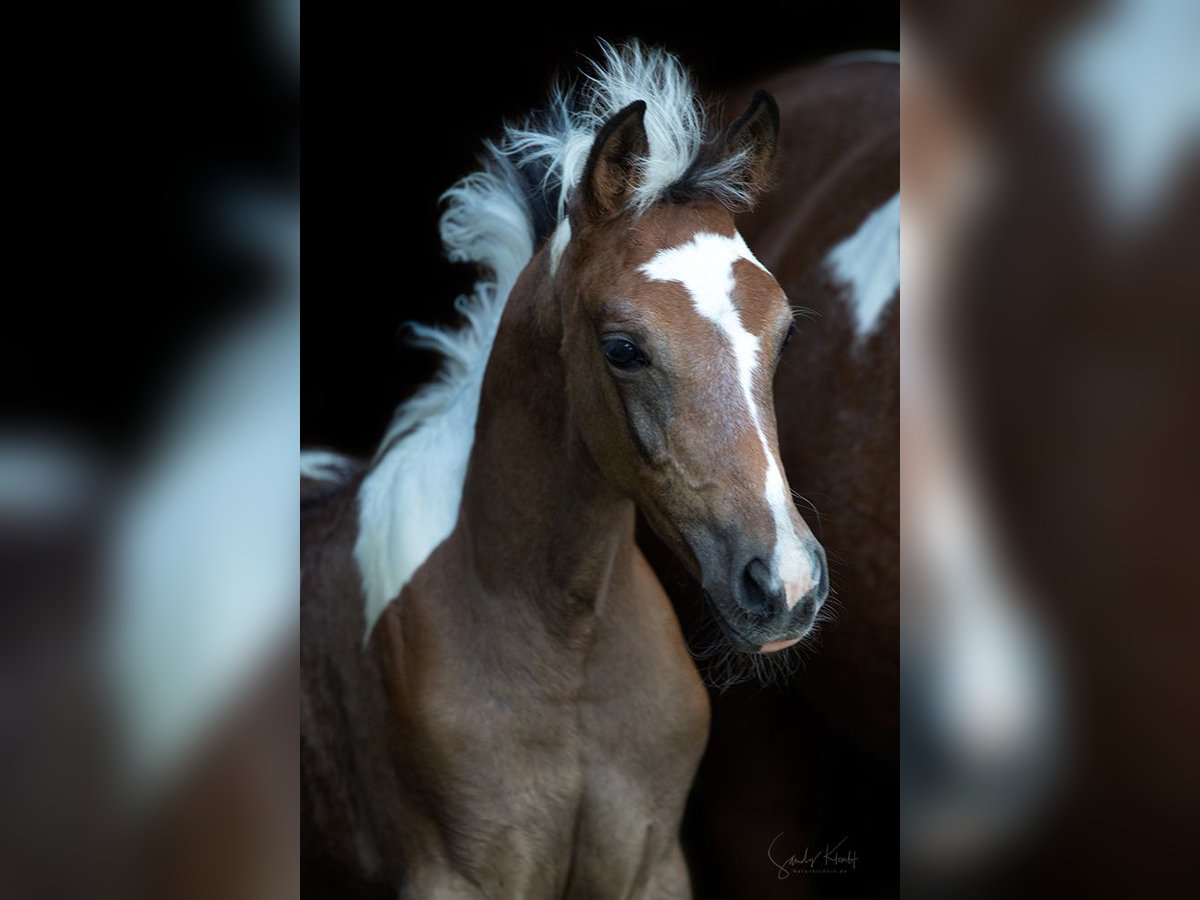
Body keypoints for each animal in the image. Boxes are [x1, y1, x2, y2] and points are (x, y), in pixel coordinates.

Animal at [301, 43, 829, 897]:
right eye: (622, 348)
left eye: (784, 335)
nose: (784, 586)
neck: (566, 641)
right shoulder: (453, 875)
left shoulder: (652, 865)